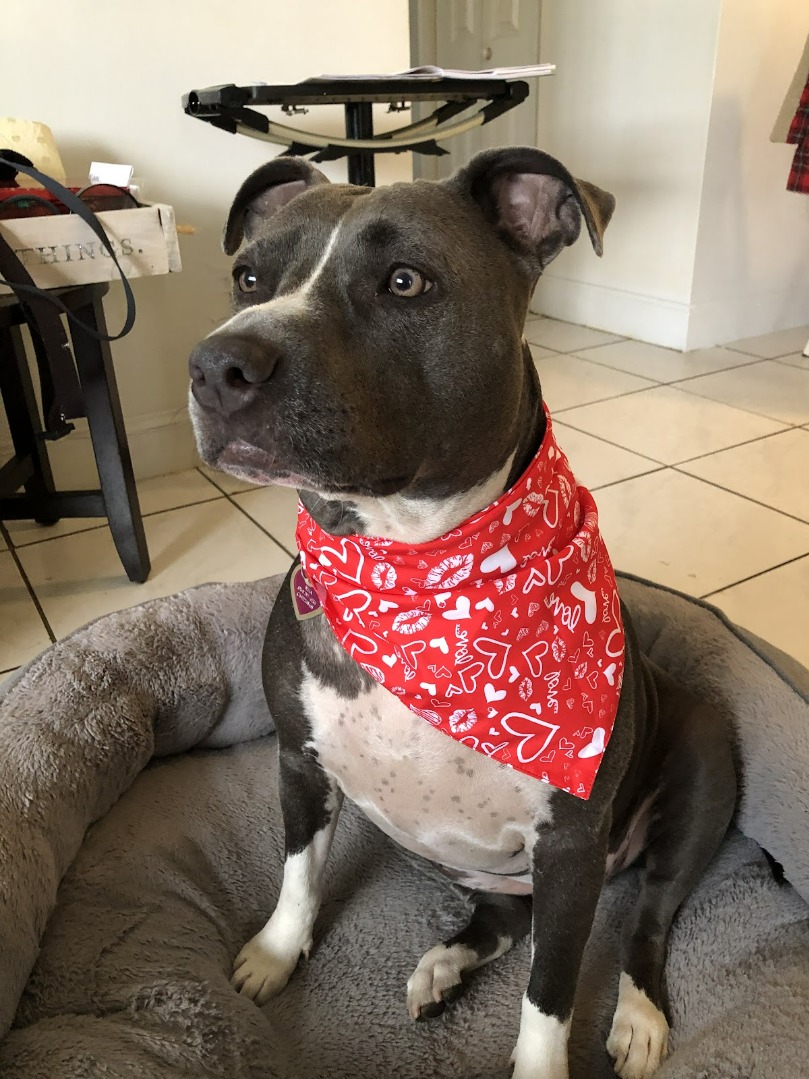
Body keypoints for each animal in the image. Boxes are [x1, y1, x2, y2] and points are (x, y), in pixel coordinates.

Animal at [188, 147, 737, 1079]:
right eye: (249, 277)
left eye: (405, 281)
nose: (218, 362)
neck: (417, 572)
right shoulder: (300, 761)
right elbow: (298, 870)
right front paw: (273, 952)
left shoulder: (568, 849)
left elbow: (549, 993)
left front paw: (542, 1062)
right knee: (502, 918)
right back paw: (445, 963)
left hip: (697, 770)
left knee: (649, 917)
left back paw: (636, 1015)